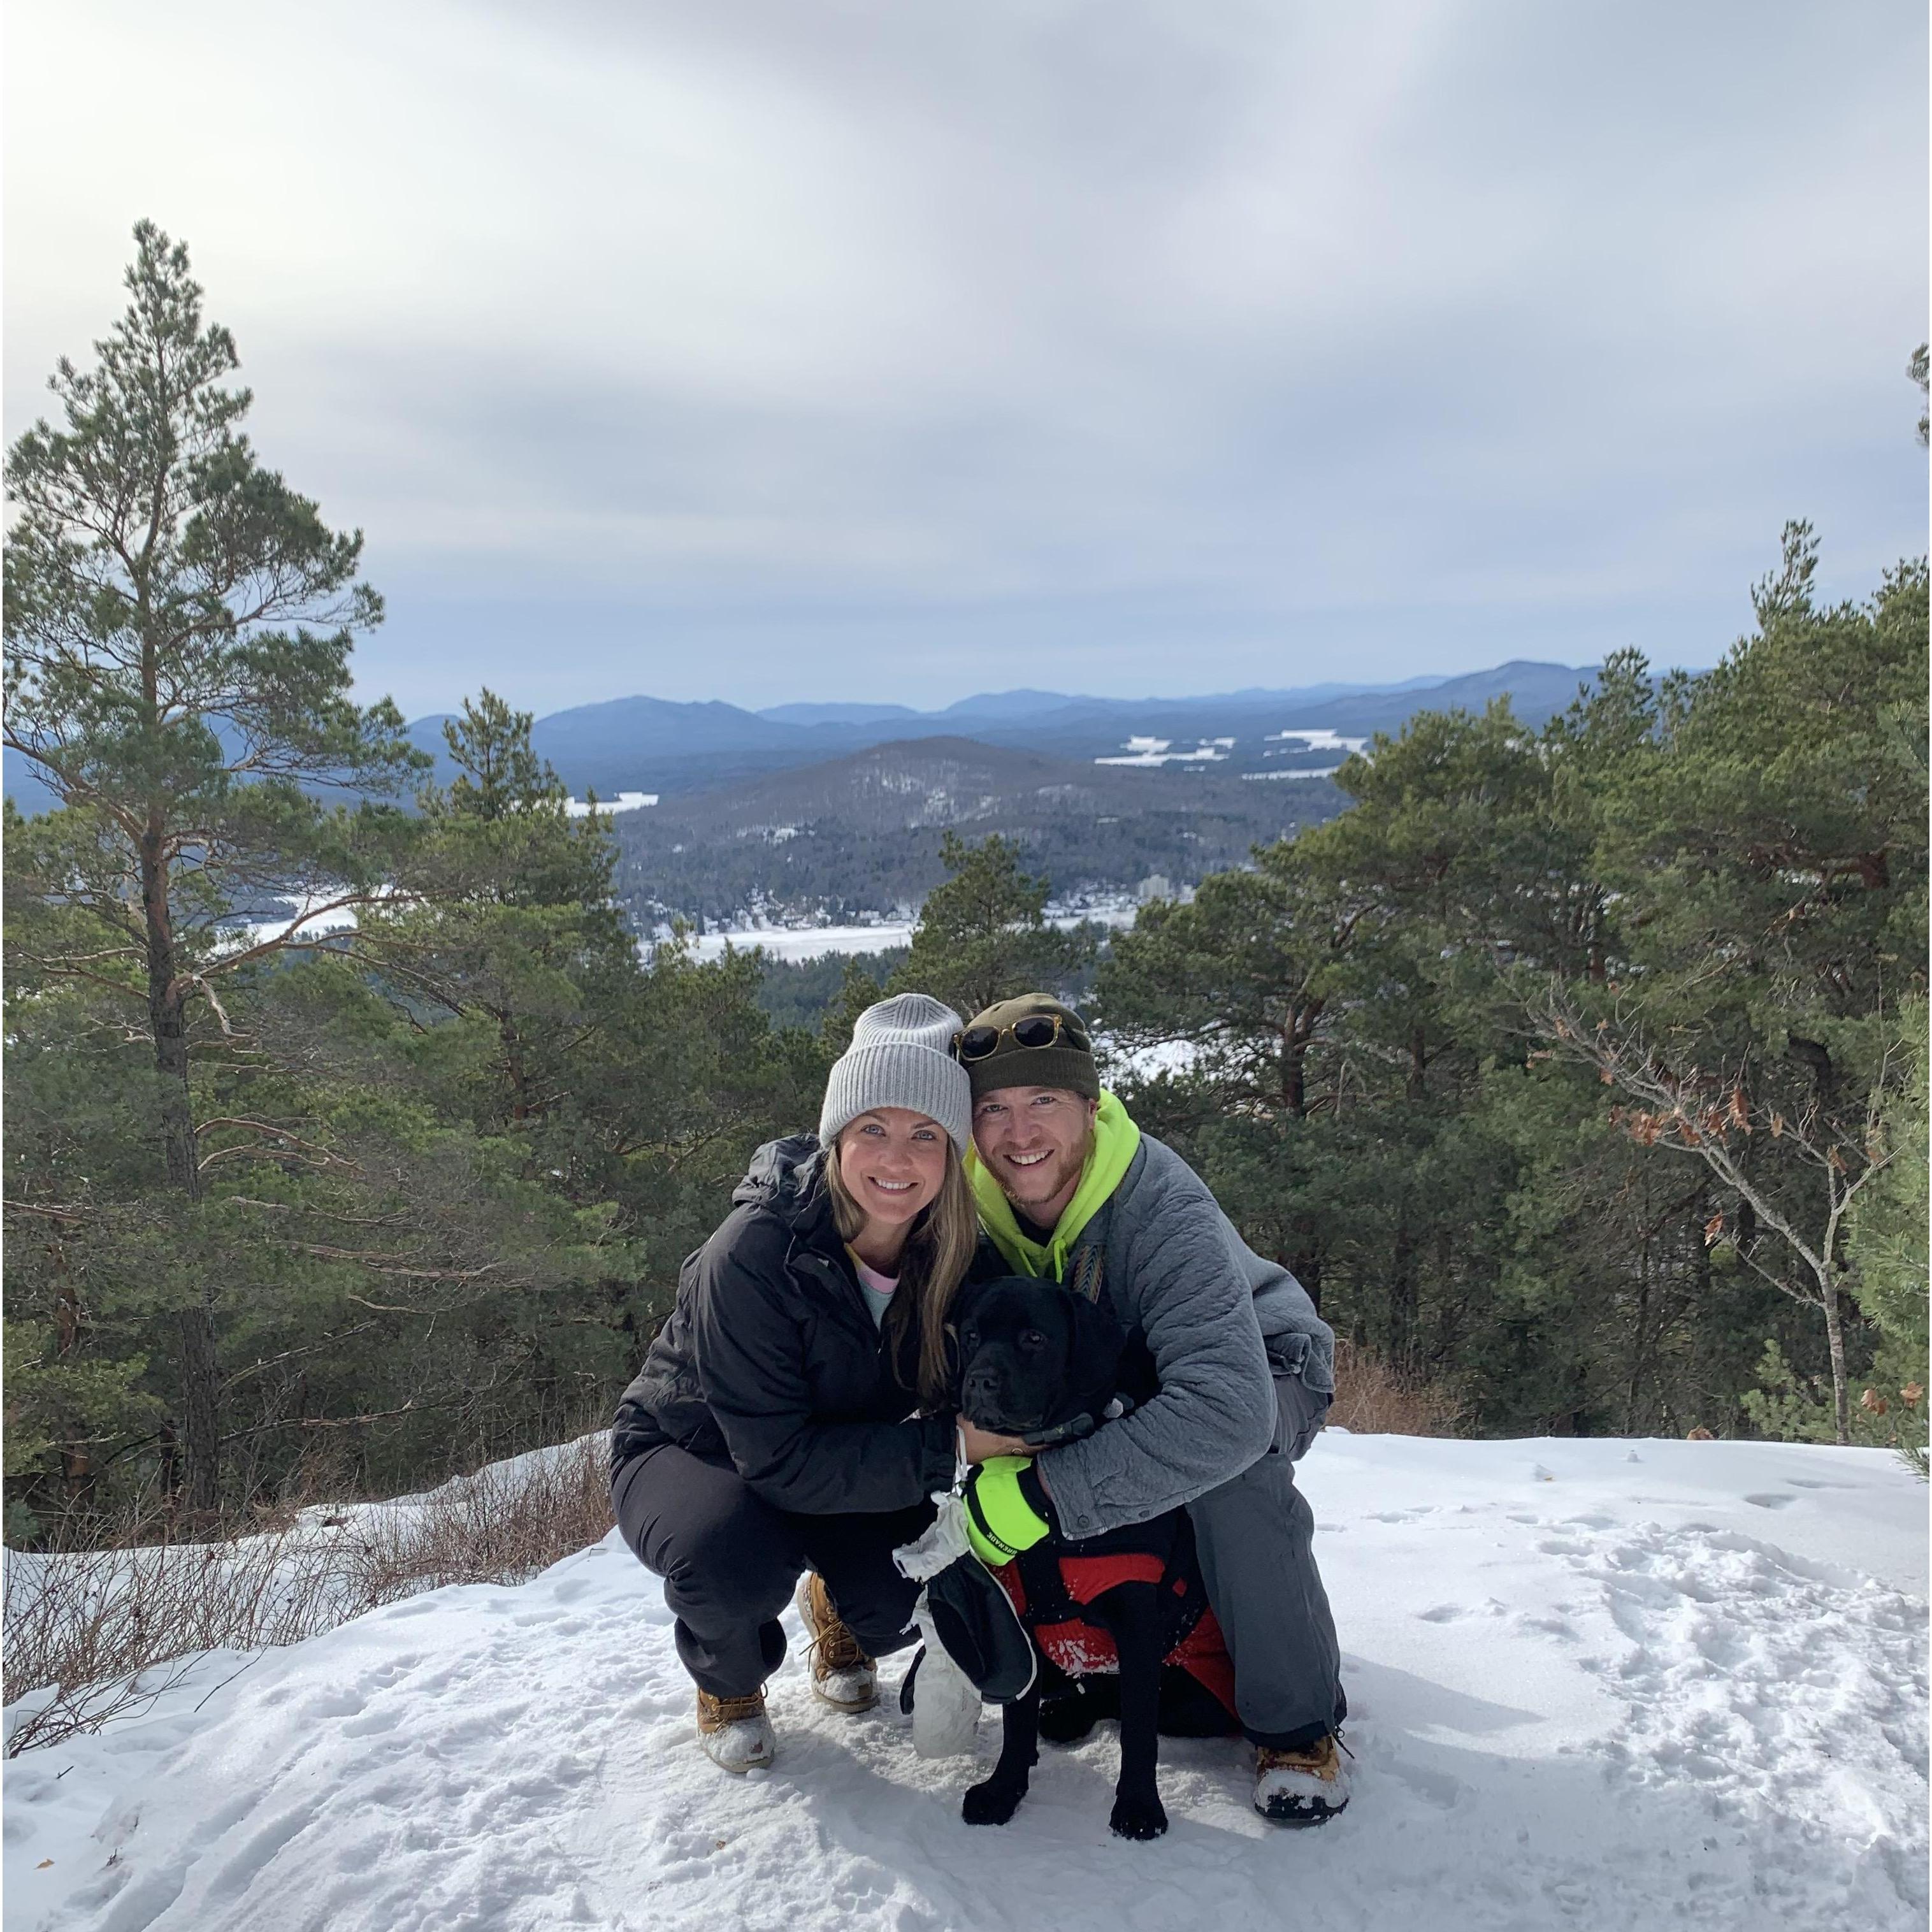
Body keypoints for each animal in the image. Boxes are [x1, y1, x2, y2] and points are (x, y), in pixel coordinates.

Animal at [946, 1275, 1236, 1831]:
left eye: (1034, 1338)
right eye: (971, 1336)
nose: (978, 1382)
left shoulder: (1137, 1622)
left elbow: (1139, 1731)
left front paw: (1139, 1808)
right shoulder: (1019, 1620)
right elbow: (1016, 1722)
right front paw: (1003, 1791)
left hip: (1201, 1695)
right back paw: (1064, 1714)